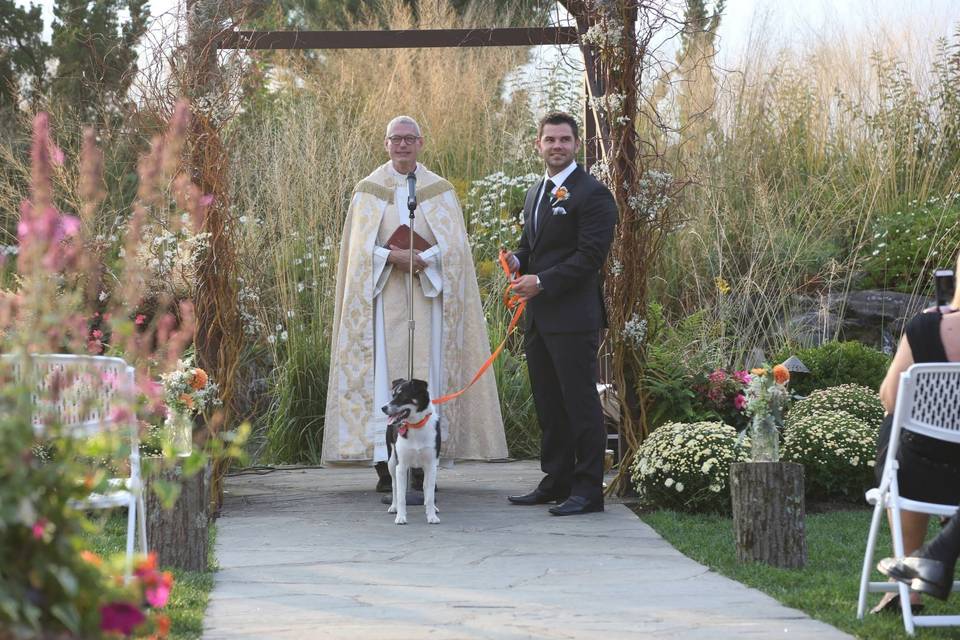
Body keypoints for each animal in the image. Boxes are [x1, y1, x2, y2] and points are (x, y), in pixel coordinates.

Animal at [382, 380, 442, 524]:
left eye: (402, 396)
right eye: (393, 395)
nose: (383, 408)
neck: (416, 425)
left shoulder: (432, 465)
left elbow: (430, 493)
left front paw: (432, 516)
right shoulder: (401, 466)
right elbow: (401, 495)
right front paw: (401, 517)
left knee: (426, 486)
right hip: (391, 461)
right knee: (394, 486)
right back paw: (394, 506)